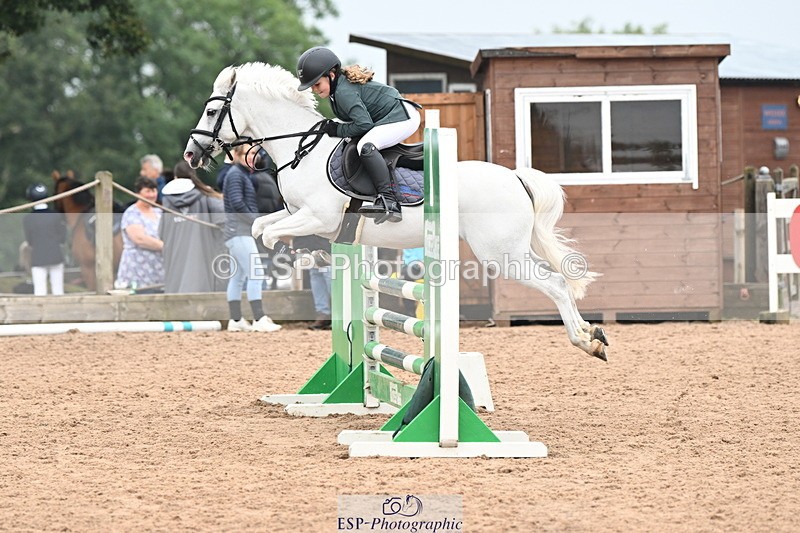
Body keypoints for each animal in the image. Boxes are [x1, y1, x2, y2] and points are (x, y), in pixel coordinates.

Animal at [183, 63, 609, 361]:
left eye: (211, 113)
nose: (190, 155)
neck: (300, 149)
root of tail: (515, 178)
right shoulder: (297, 213)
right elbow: (260, 227)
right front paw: (306, 252)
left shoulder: (322, 217)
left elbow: (272, 236)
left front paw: (301, 253)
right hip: (510, 249)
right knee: (559, 281)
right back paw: (594, 336)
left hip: (500, 254)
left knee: (555, 284)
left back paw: (585, 340)